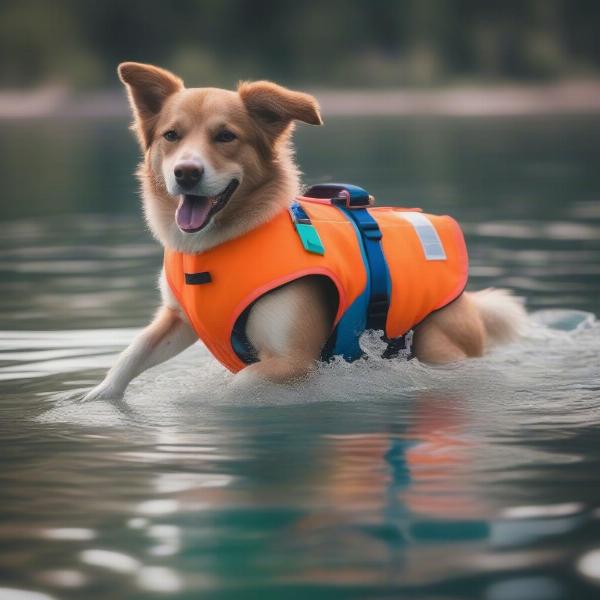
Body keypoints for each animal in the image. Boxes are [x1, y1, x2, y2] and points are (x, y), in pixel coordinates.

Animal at [83, 61, 524, 400]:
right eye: (171, 135)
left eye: (226, 136)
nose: (186, 172)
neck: (221, 244)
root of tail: (468, 301)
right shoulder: (179, 321)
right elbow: (132, 353)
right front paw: (97, 398)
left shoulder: (292, 362)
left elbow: (235, 387)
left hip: (436, 341)